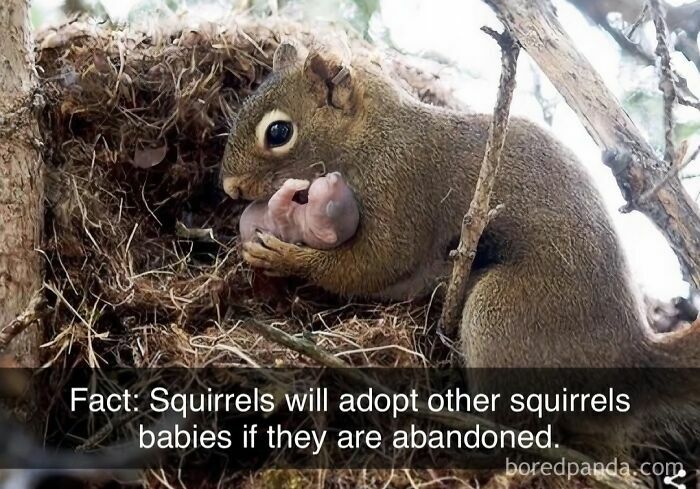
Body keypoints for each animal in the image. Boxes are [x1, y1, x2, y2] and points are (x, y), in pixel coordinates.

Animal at [221, 40, 700, 444]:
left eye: (278, 133)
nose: (229, 188)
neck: (372, 136)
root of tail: (631, 361)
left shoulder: (402, 187)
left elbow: (374, 264)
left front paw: (284, 256)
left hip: (503, 316)